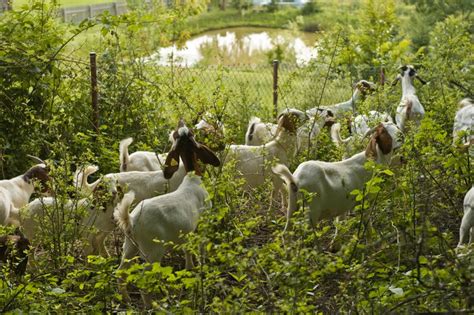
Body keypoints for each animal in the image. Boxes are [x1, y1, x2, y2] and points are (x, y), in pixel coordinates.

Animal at [115, 119, 220, 308]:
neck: (192, 177)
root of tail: (130, 221)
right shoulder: (202, 223)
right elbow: (201, 247)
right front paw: (201, 266)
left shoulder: (186, 232)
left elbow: (187, 249)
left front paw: (189, 267)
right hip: (152, 251)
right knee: (144, 280)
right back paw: (152, 306)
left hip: (129, 246)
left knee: (120, 272)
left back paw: (127, 301)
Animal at [272, 122, 402, 233]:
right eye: (383, 132)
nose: (401, 136)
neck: (372, 161)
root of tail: (295, 180)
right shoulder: (366, 202)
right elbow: (367, 223)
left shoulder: (343, 206)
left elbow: (340, 225)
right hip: (311, 212)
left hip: (292, 207)